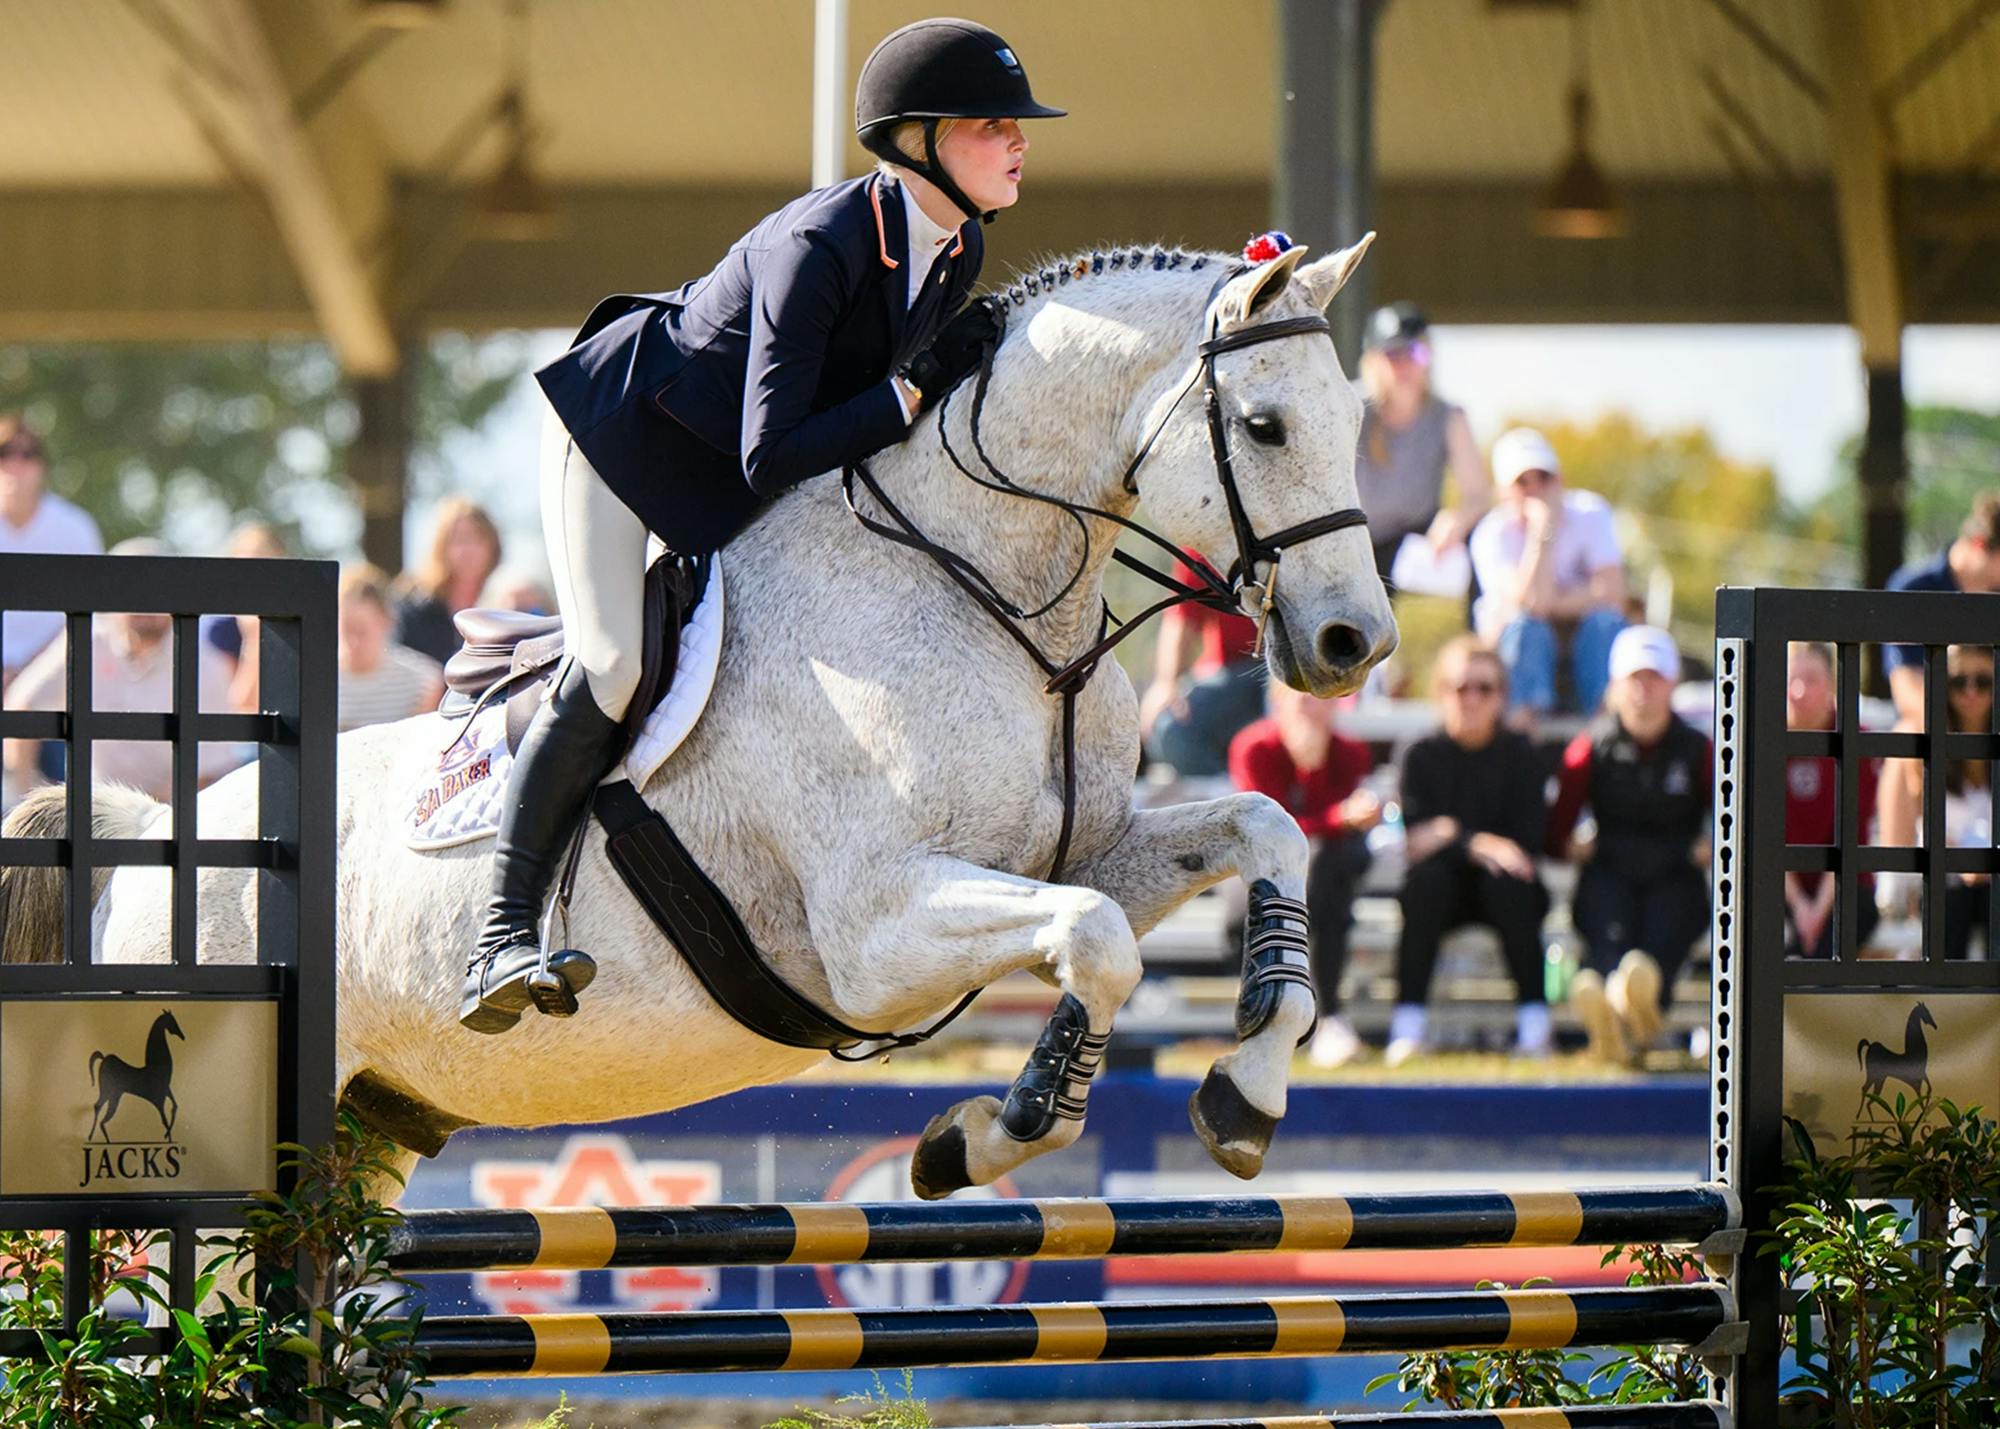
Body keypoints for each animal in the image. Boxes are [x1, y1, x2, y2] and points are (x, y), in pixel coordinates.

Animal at [88, 1008, 184, 1142]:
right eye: (171, 1021)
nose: (183, 1036)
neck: (157, 1066)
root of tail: (104, 1059)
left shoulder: (167, 1091)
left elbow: (174, 1107)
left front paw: (167, 1136)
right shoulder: (159, 1099)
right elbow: (164, 1120)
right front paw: (168, 1137)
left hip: (110, 1094)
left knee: (98, 1107)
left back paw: (94, 1137)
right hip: (110, 1093)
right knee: (101, 1114)